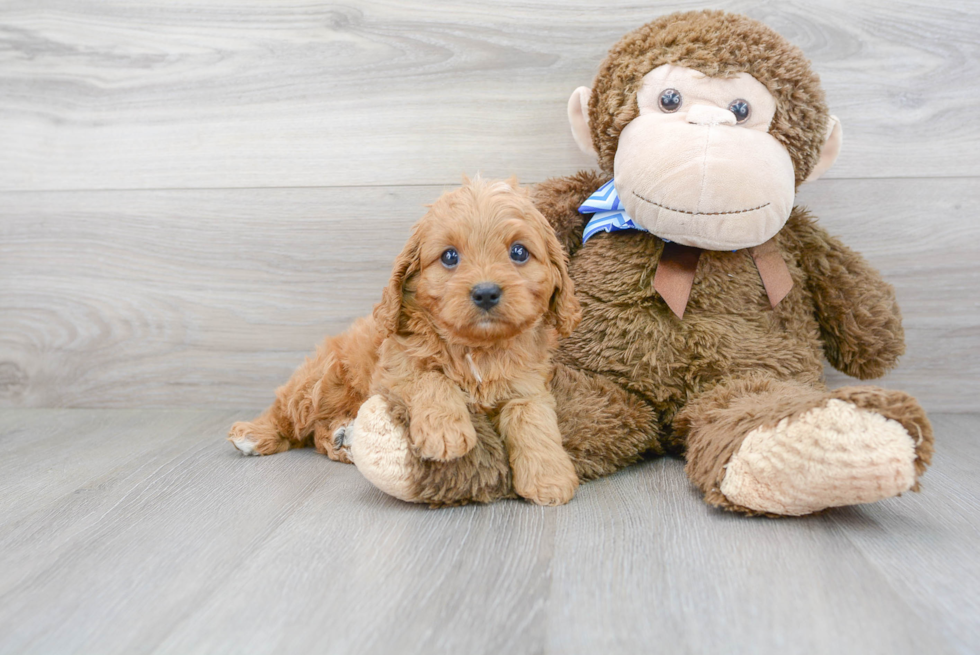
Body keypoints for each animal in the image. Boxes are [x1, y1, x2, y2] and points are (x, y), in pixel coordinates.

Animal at [230, 176, 580, 508]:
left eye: (519, 252)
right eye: (449, 256)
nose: (485, 293)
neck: (476, 347)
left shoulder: (528, 387)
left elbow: (533, 419)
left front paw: (549, 478)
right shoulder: (396, 372)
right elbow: (433, 378)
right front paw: (445, 432)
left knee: (317, 433)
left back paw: (344, 439)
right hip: (320, 381)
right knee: (288, 413)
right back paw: (254, 433)